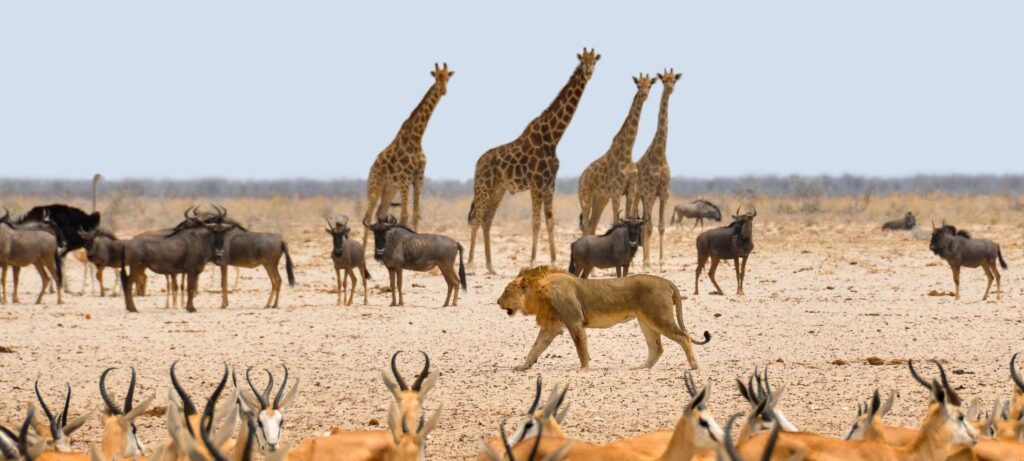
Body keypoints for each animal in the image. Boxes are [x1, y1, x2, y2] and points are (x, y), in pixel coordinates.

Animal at [362, 63, 454, 249]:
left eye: (447, 77)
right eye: (436, 77)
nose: (443, 90)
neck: (417, 139)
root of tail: (372, 168)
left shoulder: (419, 177)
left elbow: (415, 214)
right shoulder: (405, 178)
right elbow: (404, 215)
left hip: (390, 188)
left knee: (380, 213)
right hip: (375, 186)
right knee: (368, 215)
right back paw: (362, 251)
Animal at [468, 48, 602, 274]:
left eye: (595, 62)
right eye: (583, 61)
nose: (589, 73)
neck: (553, 137)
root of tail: (478, 163)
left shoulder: (550, 183)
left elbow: (550, 221)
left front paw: (554, 261)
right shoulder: (536, 183)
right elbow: (536, 222)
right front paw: (532, 261)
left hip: (498, 189)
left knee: (487, 220)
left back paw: (491, 266)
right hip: (483, 186)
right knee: (477, 219)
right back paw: (470, 265)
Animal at [497, 266, 712, 370]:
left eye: (506, 291)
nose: (497, 302)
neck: (540, 291)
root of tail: (666, 281)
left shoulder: (574, 322)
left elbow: (581, 348)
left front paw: (583, 369)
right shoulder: (551, 326)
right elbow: (535, 347)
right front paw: (523, 366)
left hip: (659, 317)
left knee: (684, 337)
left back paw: (693, 366)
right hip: (646, 321)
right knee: (657, 347)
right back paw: (643, 367)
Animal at [577, 75, 655, 235]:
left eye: (649, 85)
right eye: (638, 85)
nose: (644, 95)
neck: (627, 153)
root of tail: (581, 179)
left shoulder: (630, 190)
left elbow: (629, 217)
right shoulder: (615, 191)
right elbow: (616, 221)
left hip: (601, 198)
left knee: (592, 225)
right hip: (586, 197)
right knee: (586, 225)